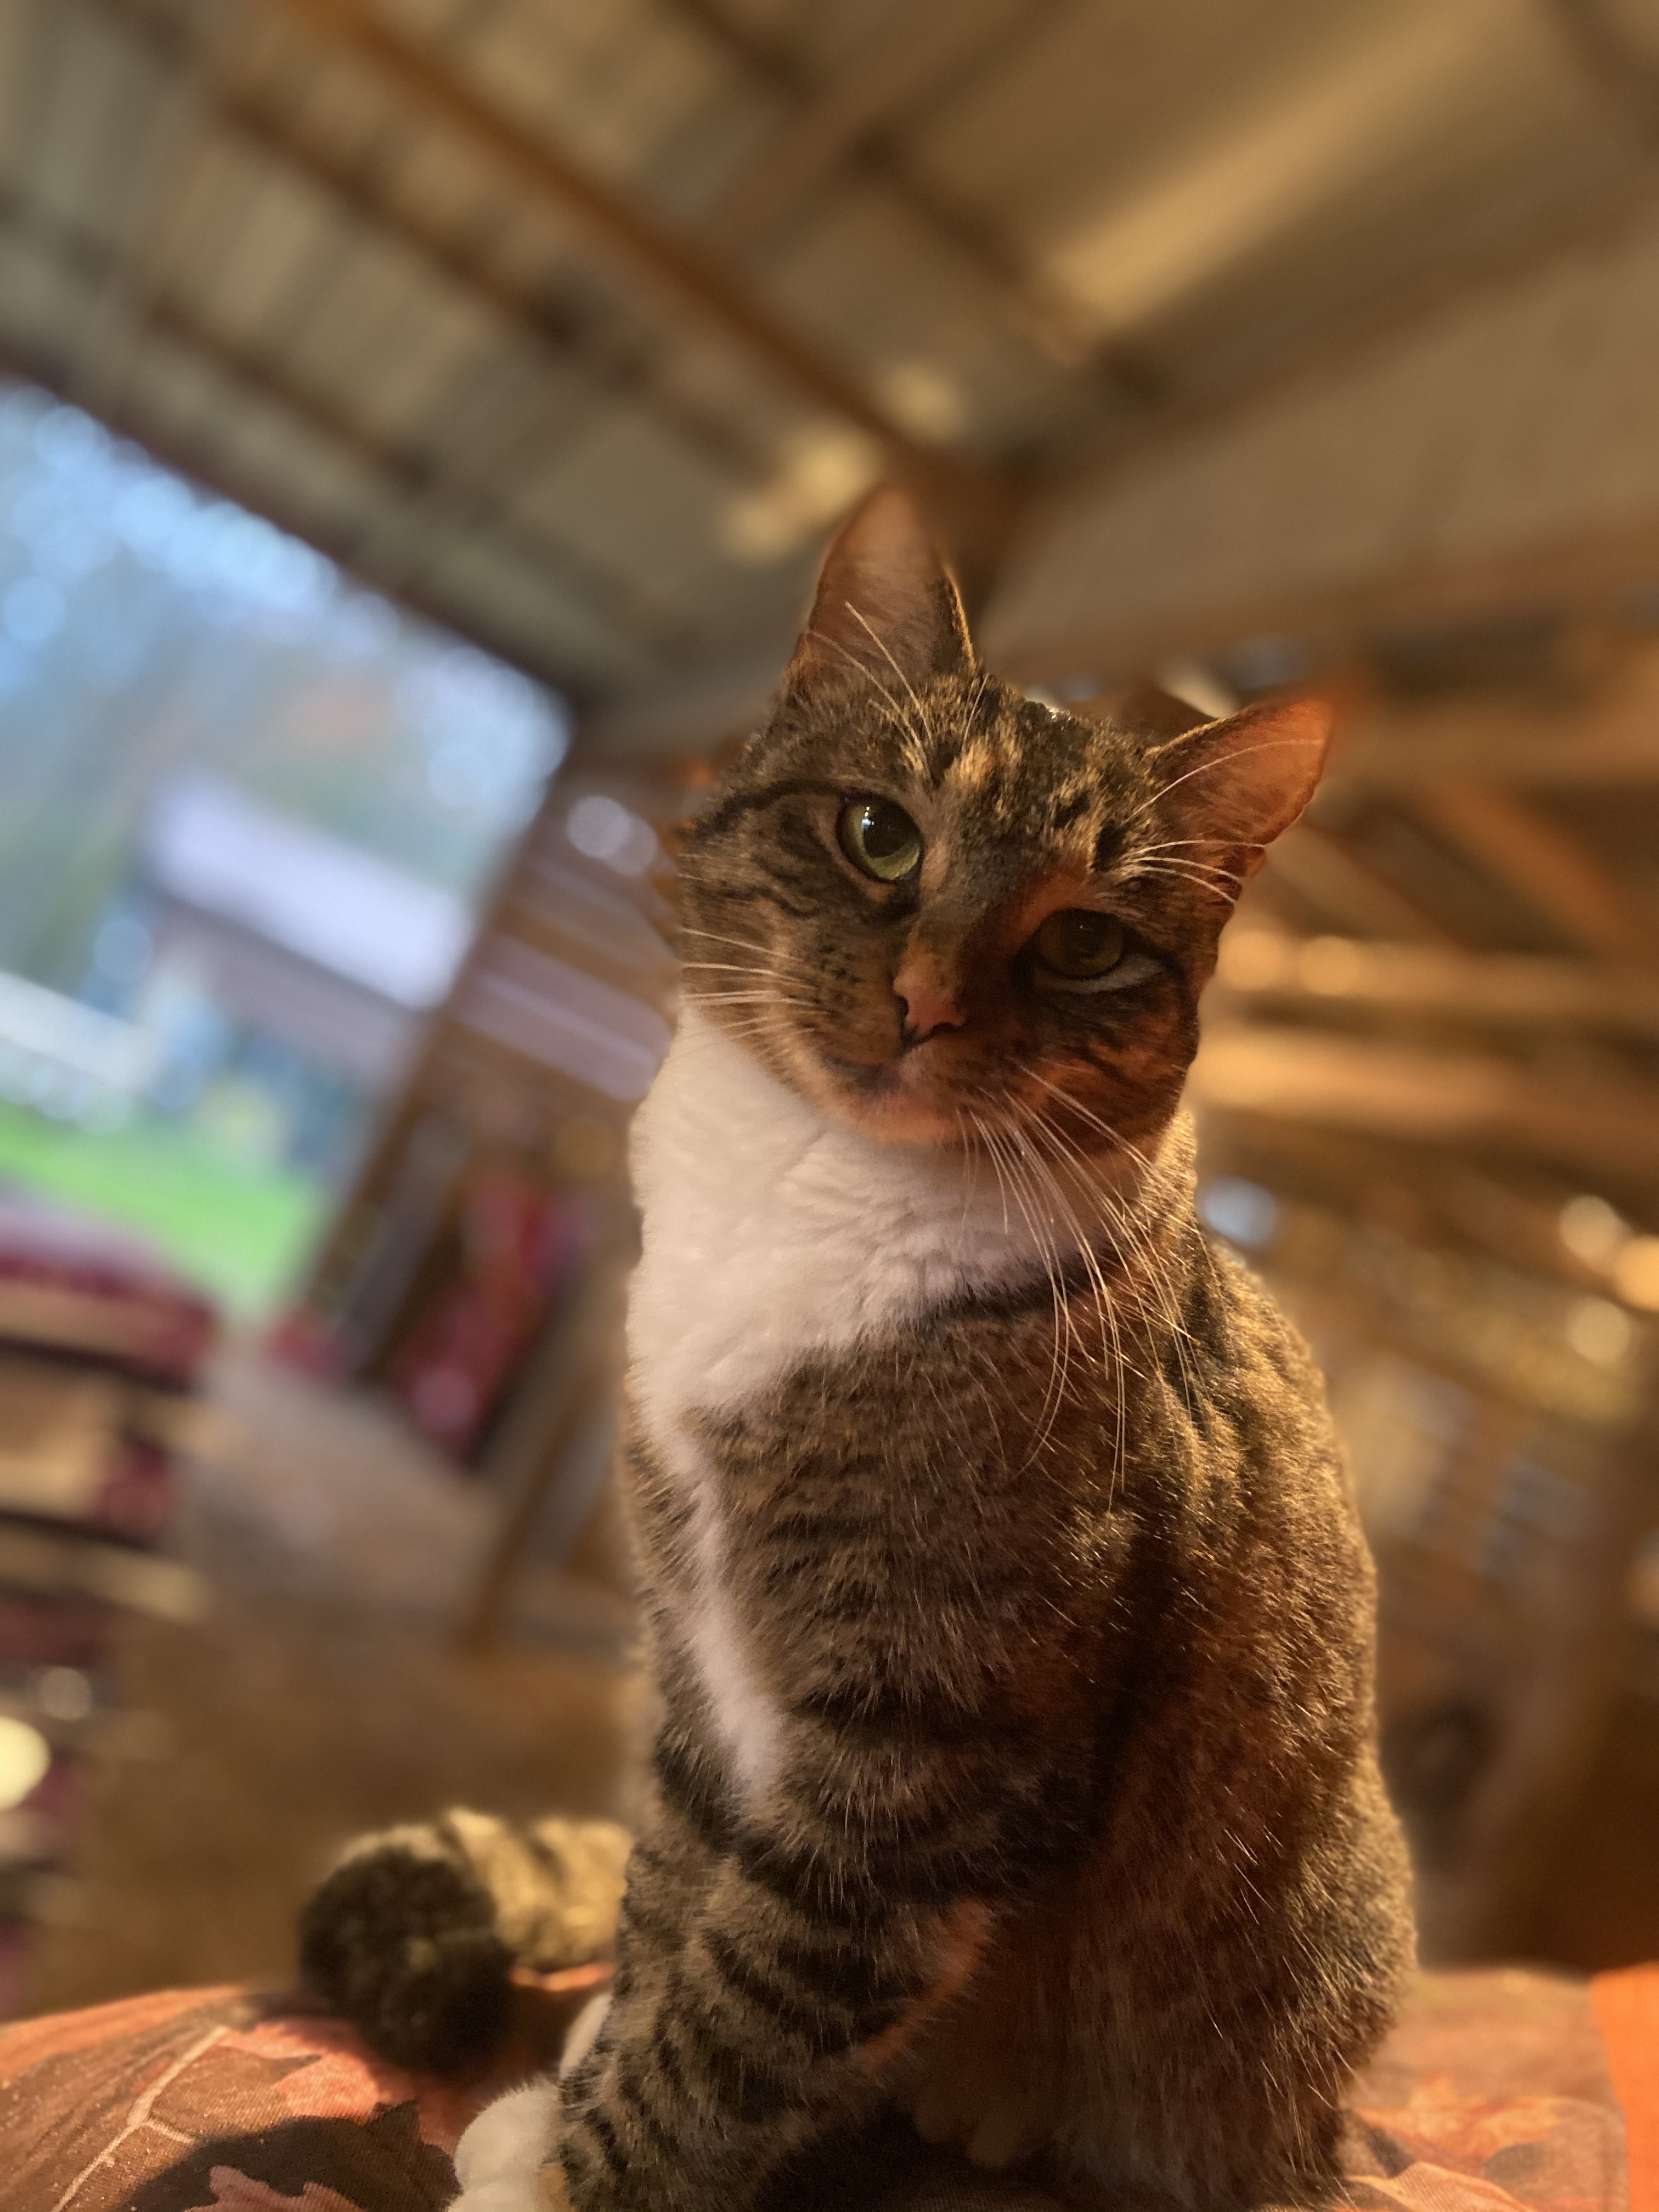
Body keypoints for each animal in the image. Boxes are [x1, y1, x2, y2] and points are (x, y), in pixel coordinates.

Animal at [304, 487, 1413, 2212]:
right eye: (881, 835)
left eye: (1085, 942)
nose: (928, 1002)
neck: (808, 1197)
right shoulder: (699, 1676)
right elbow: (672, 1909)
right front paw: (585, 2081)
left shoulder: (931, 1748)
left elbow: (752, 2001)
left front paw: (583, 2167)